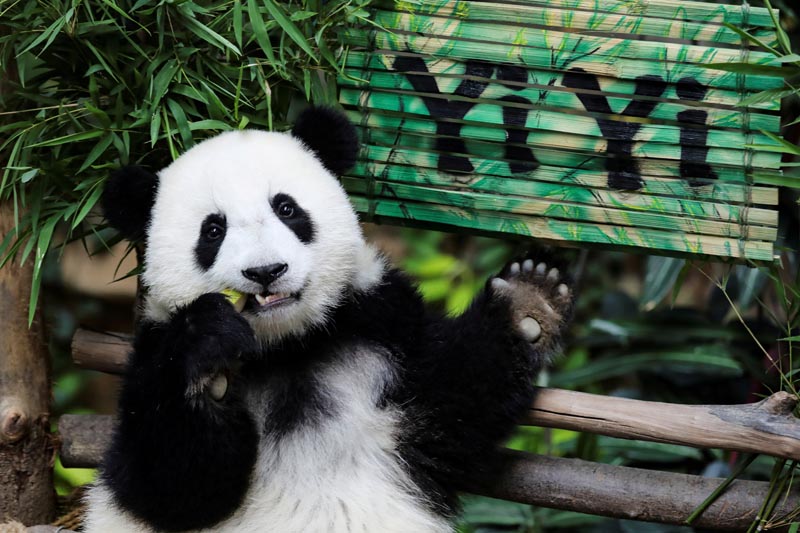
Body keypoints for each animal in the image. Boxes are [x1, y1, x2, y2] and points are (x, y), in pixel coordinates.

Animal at [83, 107, 574, 533]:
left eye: (287, 209)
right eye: (213, 230)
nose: (266, 271)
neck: (286, 346)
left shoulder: (380, 323)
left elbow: (455, 400)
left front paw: (528, 304)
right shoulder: (152, 346)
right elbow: (168, 487)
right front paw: (208, 351)